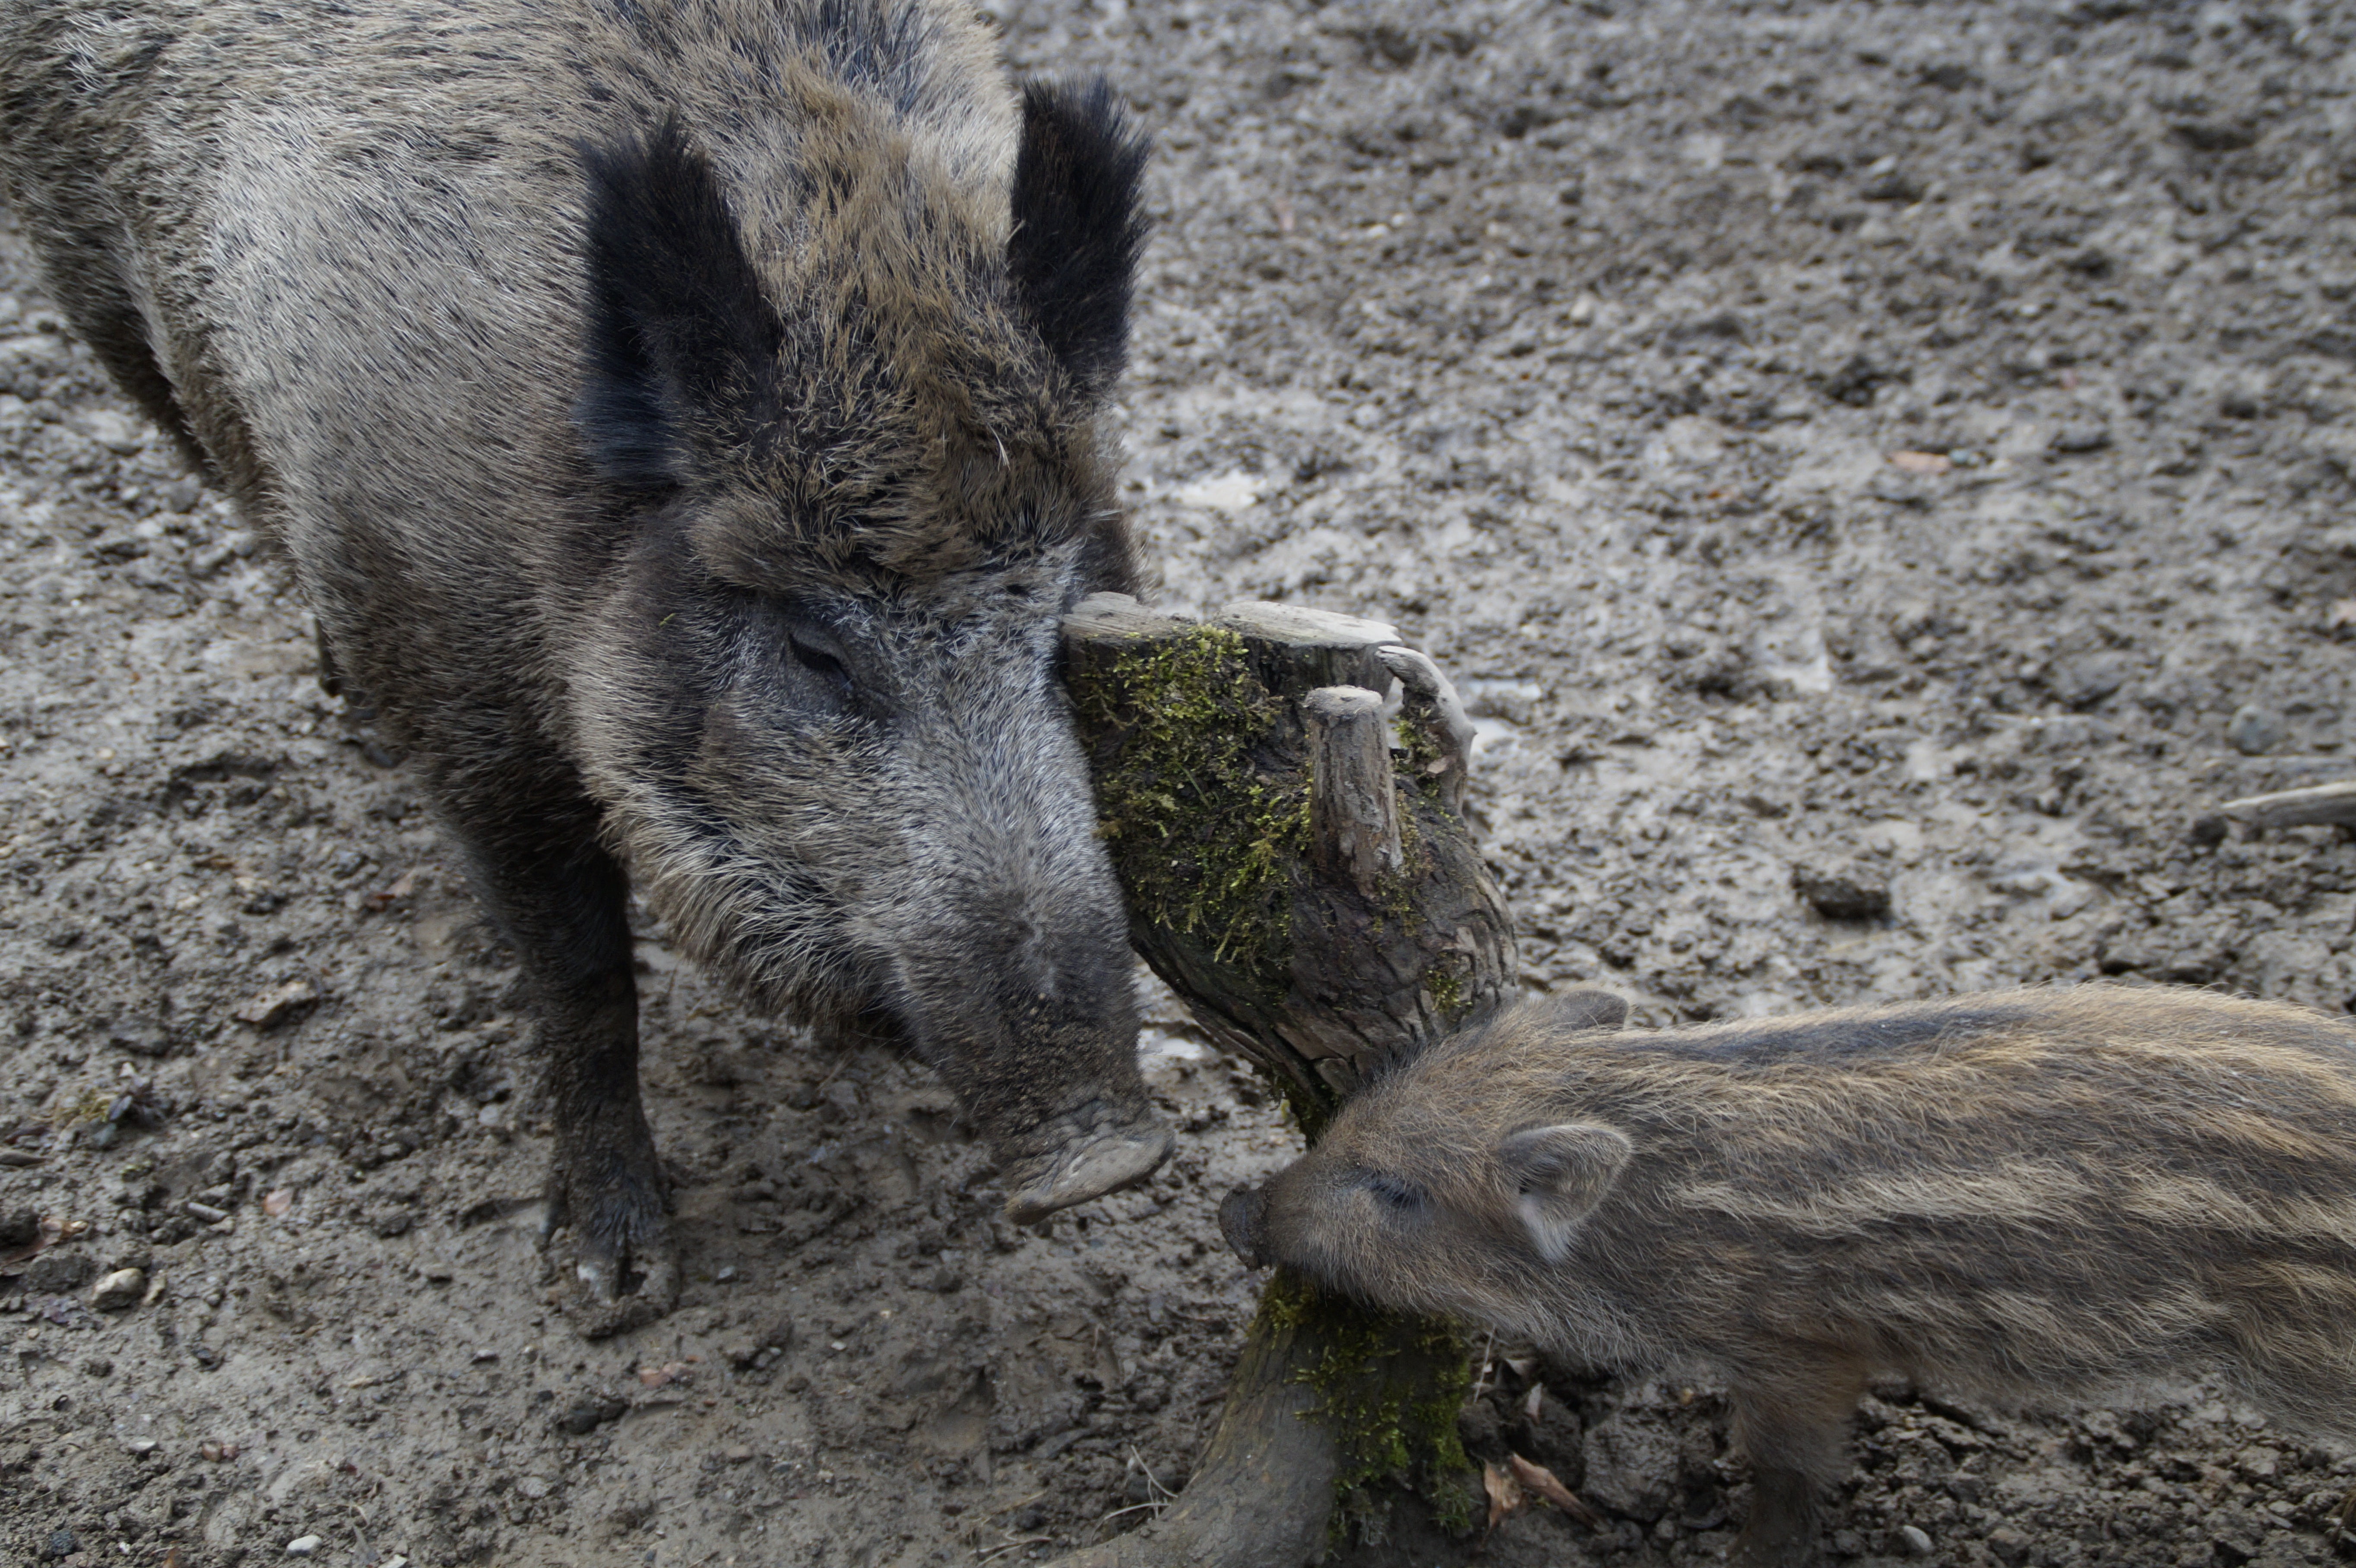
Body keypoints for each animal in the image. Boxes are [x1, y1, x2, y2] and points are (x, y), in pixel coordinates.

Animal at [0, 0, 1170, 1330]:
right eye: (815, 646)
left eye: (1060, 610)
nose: (1103, 1156)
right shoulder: (460, 700)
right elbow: (579, 976)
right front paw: (611, 1286)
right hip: (102, 300)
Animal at [1221, 985, 2356, 1565]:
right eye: (1356, 1116)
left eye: (1399, 1193)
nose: (1239, 1214)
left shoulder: (1804, 1349)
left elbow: (1787, 1467)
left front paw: (1750, 1551)